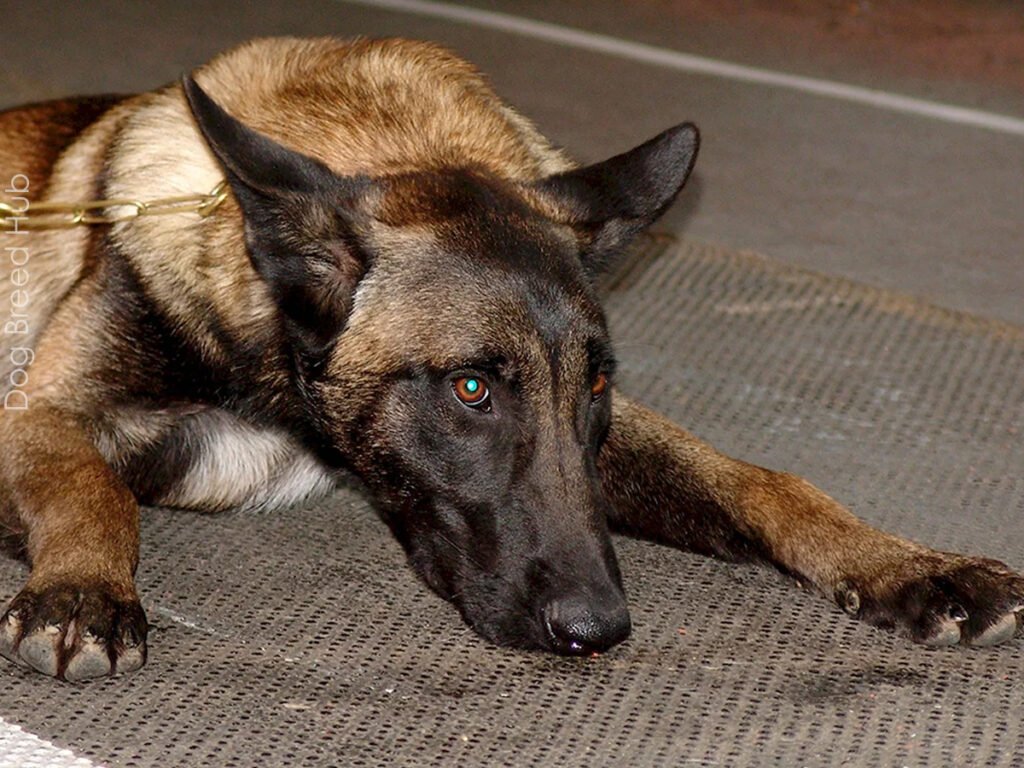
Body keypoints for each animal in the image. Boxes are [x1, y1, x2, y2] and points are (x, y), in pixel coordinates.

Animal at [2, 39, 1024, 684]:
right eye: (470, 388)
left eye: (599, 382)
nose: (598, 632)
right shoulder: (38, 414)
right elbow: (93, 487)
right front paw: (83, 591)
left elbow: (763, 481)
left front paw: (910, 566)